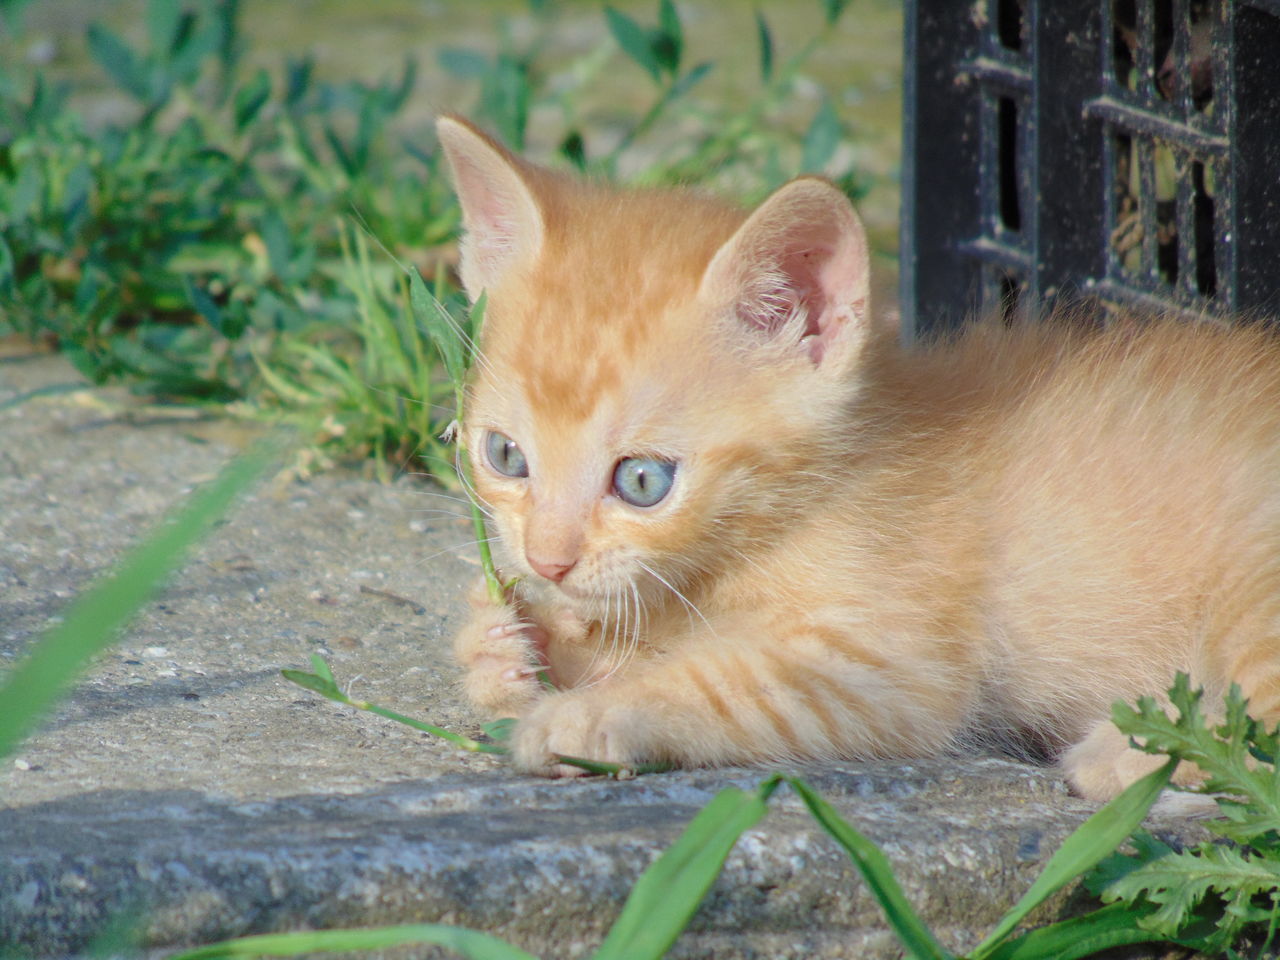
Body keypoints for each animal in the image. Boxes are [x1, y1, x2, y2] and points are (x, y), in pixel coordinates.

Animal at [432, 114, 1280, 803]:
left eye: (643, 481)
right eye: (504, 455)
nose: (548, 561)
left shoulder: (889, 665)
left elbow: (722, 679)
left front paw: (586, 716)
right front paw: (506, 647)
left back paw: (1129, 755)